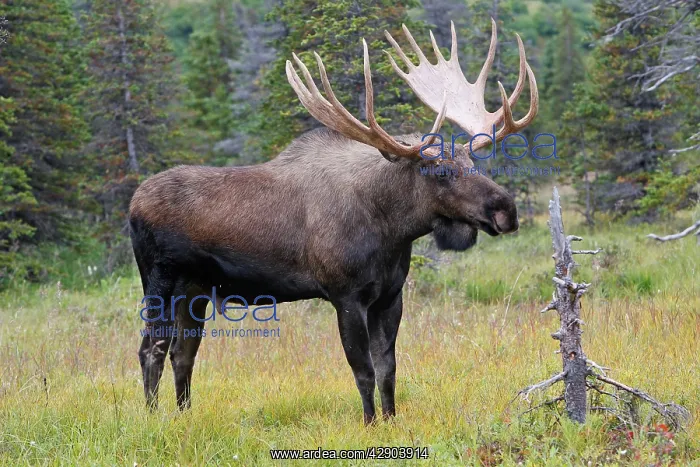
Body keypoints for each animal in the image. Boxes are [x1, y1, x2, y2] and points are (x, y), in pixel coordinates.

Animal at [129, 19, 538, 424]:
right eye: (440, 171)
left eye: (472, 162)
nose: (505, 209)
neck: (390, 231)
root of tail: (133, 203)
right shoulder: (345, 294)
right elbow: (364, 371)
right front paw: (371, 424)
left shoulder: (390, 296)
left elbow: (389, 369)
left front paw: (391, 421)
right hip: (160, 279)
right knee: (152, 348)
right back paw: (152, 418)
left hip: (195, 289)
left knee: (183, 352)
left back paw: (184, 416)